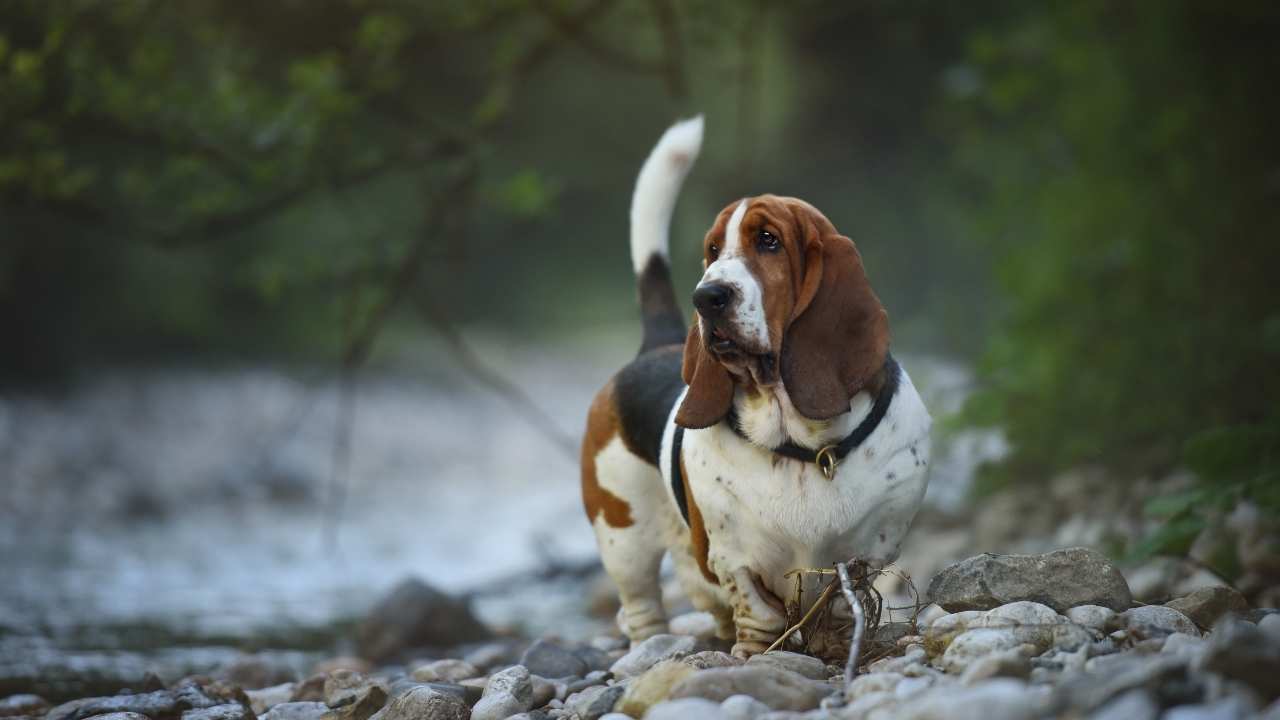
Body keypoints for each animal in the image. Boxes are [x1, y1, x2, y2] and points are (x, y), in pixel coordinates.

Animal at [583, 116, 931, 655]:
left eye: (768, 240)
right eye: (712, 251)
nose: (706, 297)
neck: (805, 446)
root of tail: (655, 345)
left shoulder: (869, 549)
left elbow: (837, 602)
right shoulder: (736, 556)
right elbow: (757, 609)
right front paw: (753, 655)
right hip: (624, 540)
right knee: (641, 608)